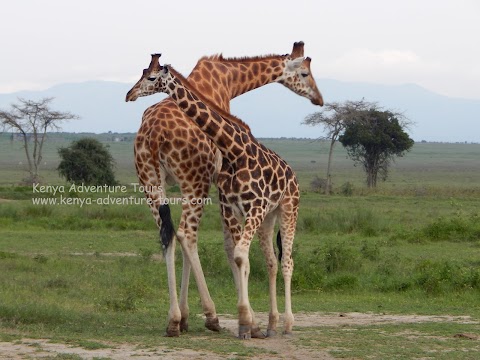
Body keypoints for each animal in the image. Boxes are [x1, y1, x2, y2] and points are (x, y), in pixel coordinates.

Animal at [125, 43, 324, 338]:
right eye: (304, 73)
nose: (319, 99)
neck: (229, 82)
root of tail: (152, 135)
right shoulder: (220, 188)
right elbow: (232, 248)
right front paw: (246, 320)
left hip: (150, 182)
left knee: (169, 234)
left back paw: (175, 318)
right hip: (193, 181)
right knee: (187, 234)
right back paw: (208, 316)